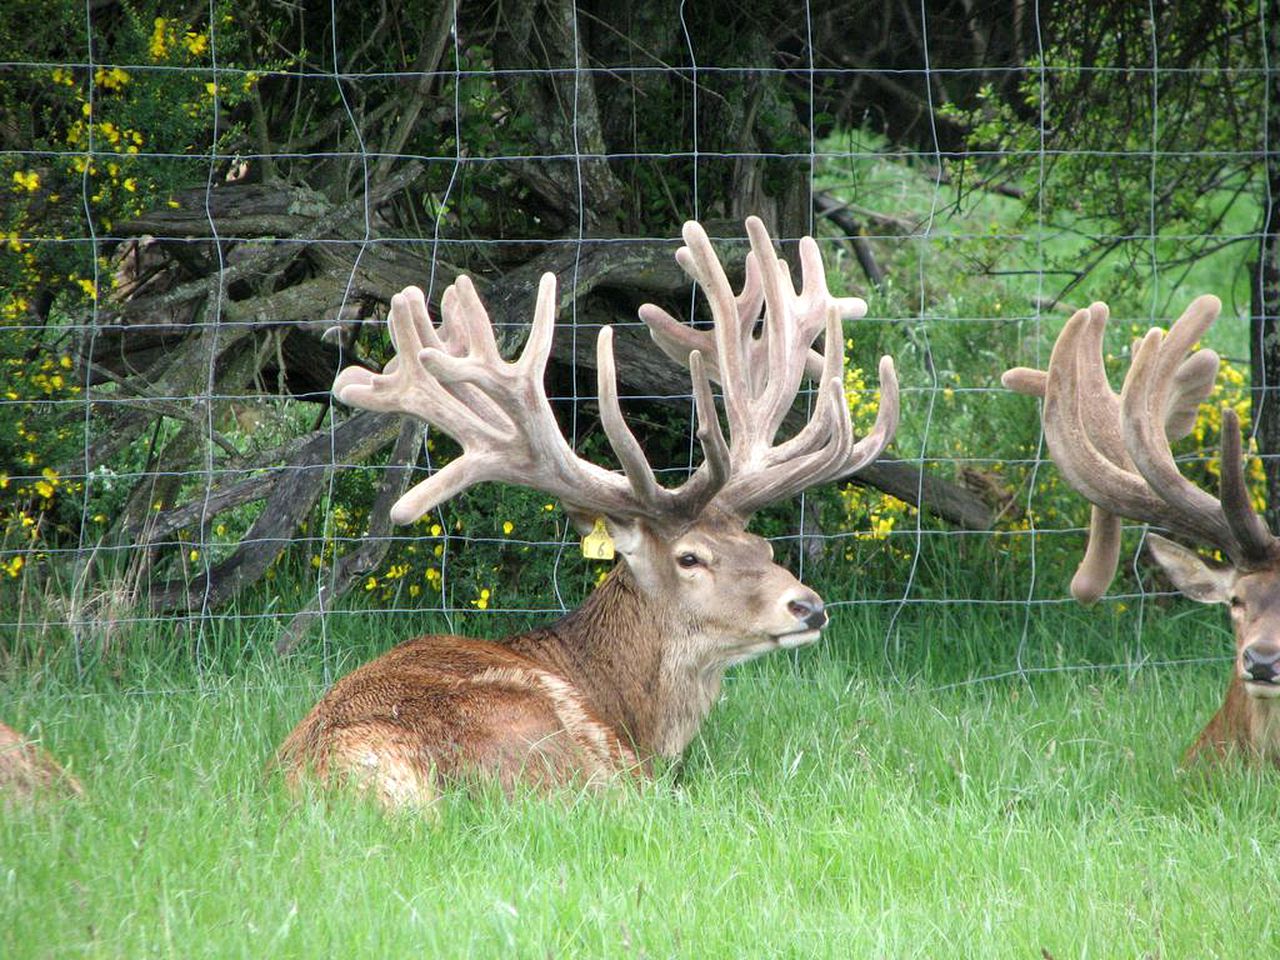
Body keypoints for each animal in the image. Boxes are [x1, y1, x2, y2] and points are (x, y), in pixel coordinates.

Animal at [277, 220, 901, 814]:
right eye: (690, 557)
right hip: (568, 760)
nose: (809, 606)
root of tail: (345, 774)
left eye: (764, 548)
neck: (627, 704)